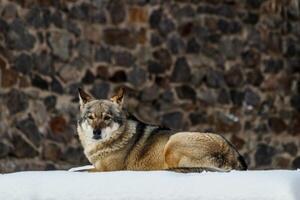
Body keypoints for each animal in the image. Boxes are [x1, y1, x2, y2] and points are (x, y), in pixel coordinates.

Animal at [76, 88, 247, 173]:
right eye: (91, 117)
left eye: (107, 118)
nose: (96, 132)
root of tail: (231, 153)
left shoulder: (107, 169)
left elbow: (79, 171)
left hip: (173, 143)